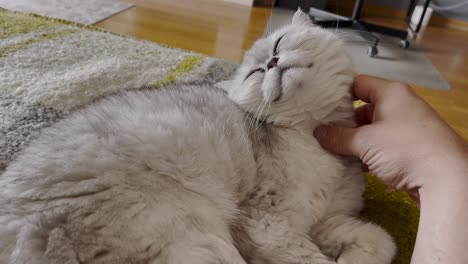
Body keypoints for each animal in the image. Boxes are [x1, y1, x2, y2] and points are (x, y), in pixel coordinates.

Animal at [0, 9, 394, 262]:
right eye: (254, 73)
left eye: (280, 42)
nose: (271, 63)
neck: (312, 135)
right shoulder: (269, 223)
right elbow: (309, 256)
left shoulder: (328, 220)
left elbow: (380, 241)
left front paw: (356, 254)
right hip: (198, 238)